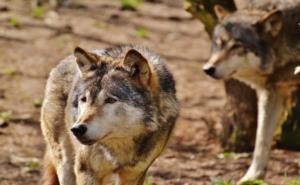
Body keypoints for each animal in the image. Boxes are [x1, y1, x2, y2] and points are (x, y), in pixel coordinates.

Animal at [39, 45, 178, 185]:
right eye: (84, 99)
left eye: (110, 100)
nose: (77, 129)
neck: (119, 146)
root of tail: (63, 62)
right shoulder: (86, 171)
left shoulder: (134, 175)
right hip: (65, 164)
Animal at [203, 2, 300, 184]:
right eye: (218, 44)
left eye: (236, 46)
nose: (207, 69)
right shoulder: (270, 93)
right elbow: (261, 140)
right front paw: (252, 177)